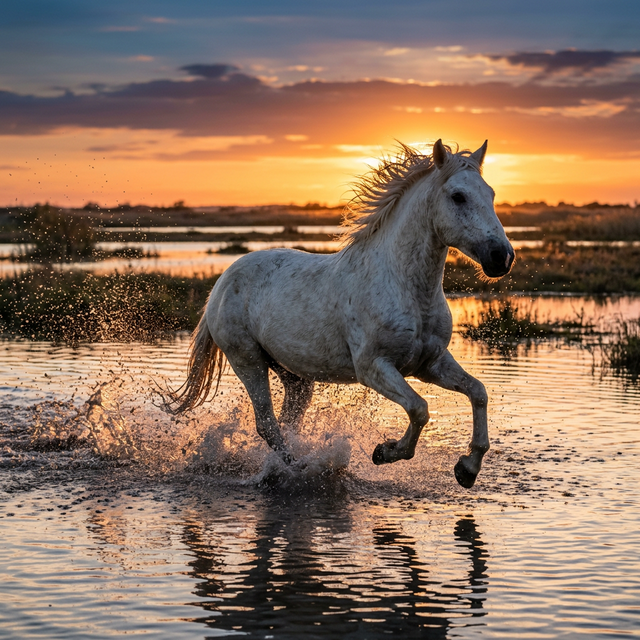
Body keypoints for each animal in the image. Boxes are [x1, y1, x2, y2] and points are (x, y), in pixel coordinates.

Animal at [172, 139, 515, 488]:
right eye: (458, 196)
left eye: (491, 194)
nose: (501, 257)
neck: (404, 287)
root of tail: (222, 281)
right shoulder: (373, 367)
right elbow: (419, 408)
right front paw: (385, 452)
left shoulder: (429, 363)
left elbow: (478, 392)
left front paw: (467, 469)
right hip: (247, 360)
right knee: (267, 423)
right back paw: (300, 468)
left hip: (293, 374)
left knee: (287, 420)